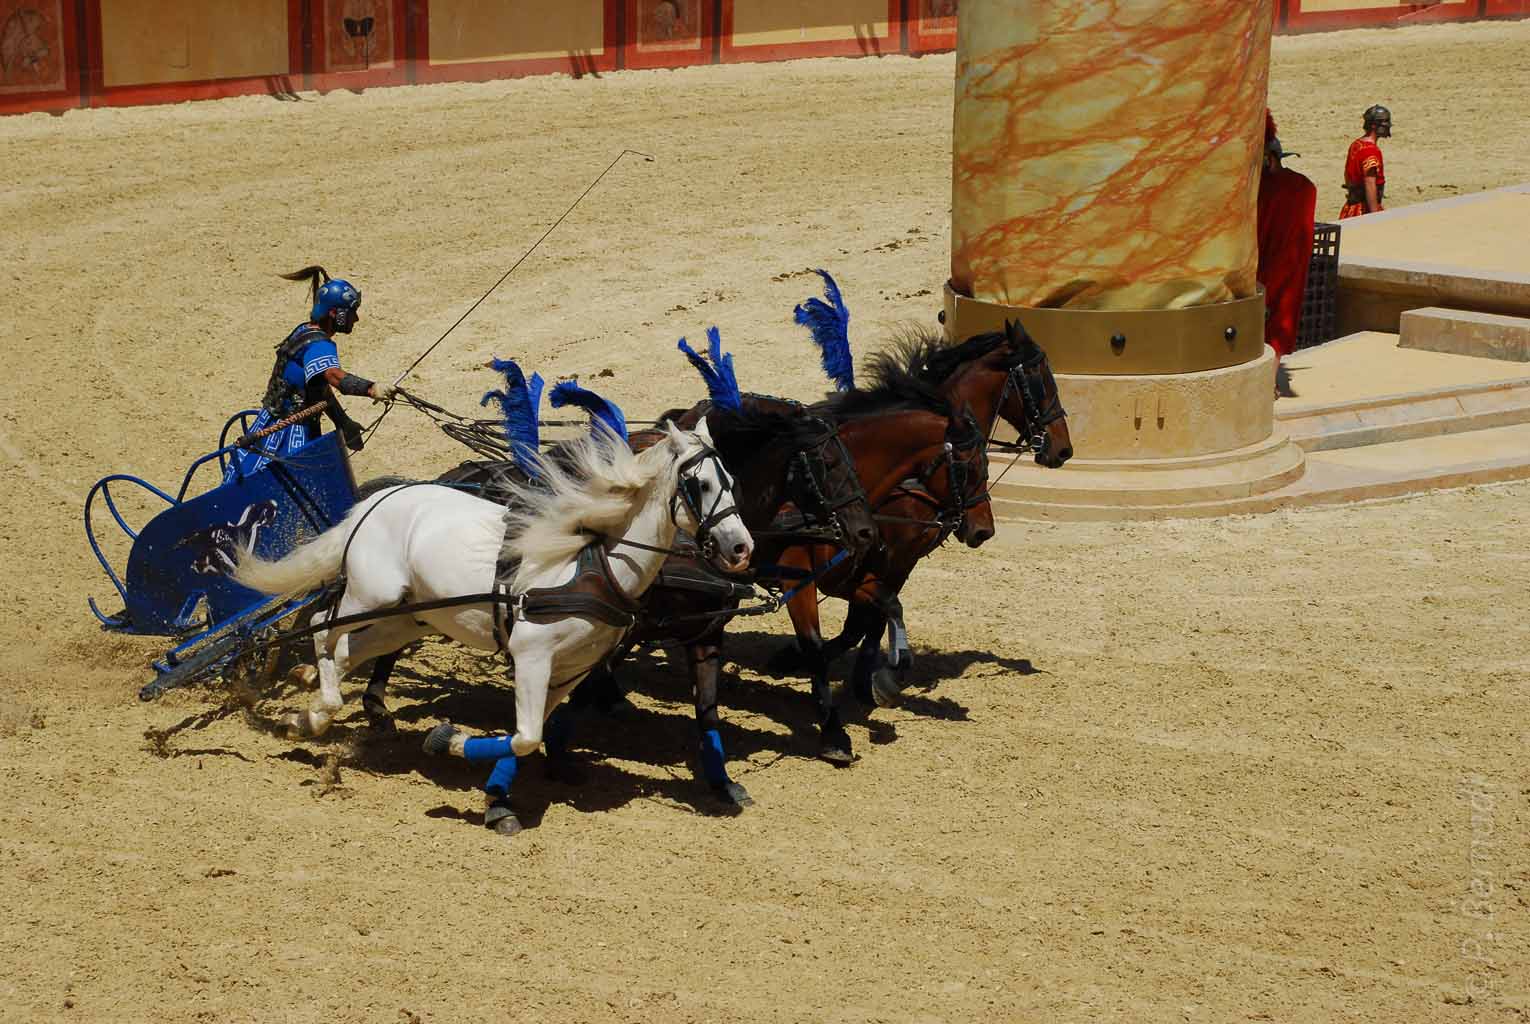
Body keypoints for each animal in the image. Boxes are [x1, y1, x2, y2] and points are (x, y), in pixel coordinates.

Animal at [234, 420, 753, 835]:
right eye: (700, 483)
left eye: (732, 480)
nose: (741, 548)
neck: (593, 564)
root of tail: (378, 500)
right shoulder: (532, 657)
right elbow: (525, 736)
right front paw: (446, 741)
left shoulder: (571, 671)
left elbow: (527, 735)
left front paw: (498, 800)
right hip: (370, 597)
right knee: (323, 627)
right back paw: (320, 706)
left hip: (405, 619)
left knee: (346, 652)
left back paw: (307, 718)